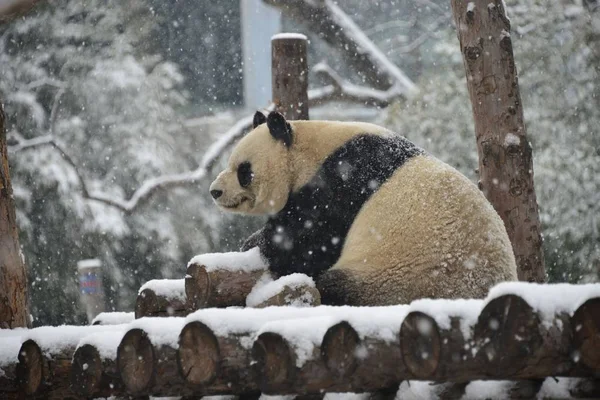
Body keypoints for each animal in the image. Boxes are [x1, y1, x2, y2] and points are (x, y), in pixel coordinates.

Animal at [209, 111, 516, 304]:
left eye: (244, 171)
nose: (215, 191)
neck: (309, 151)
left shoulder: (342, 183)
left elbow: (302, 243)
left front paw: (253, 243)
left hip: (399, 278)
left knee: (337, 286)